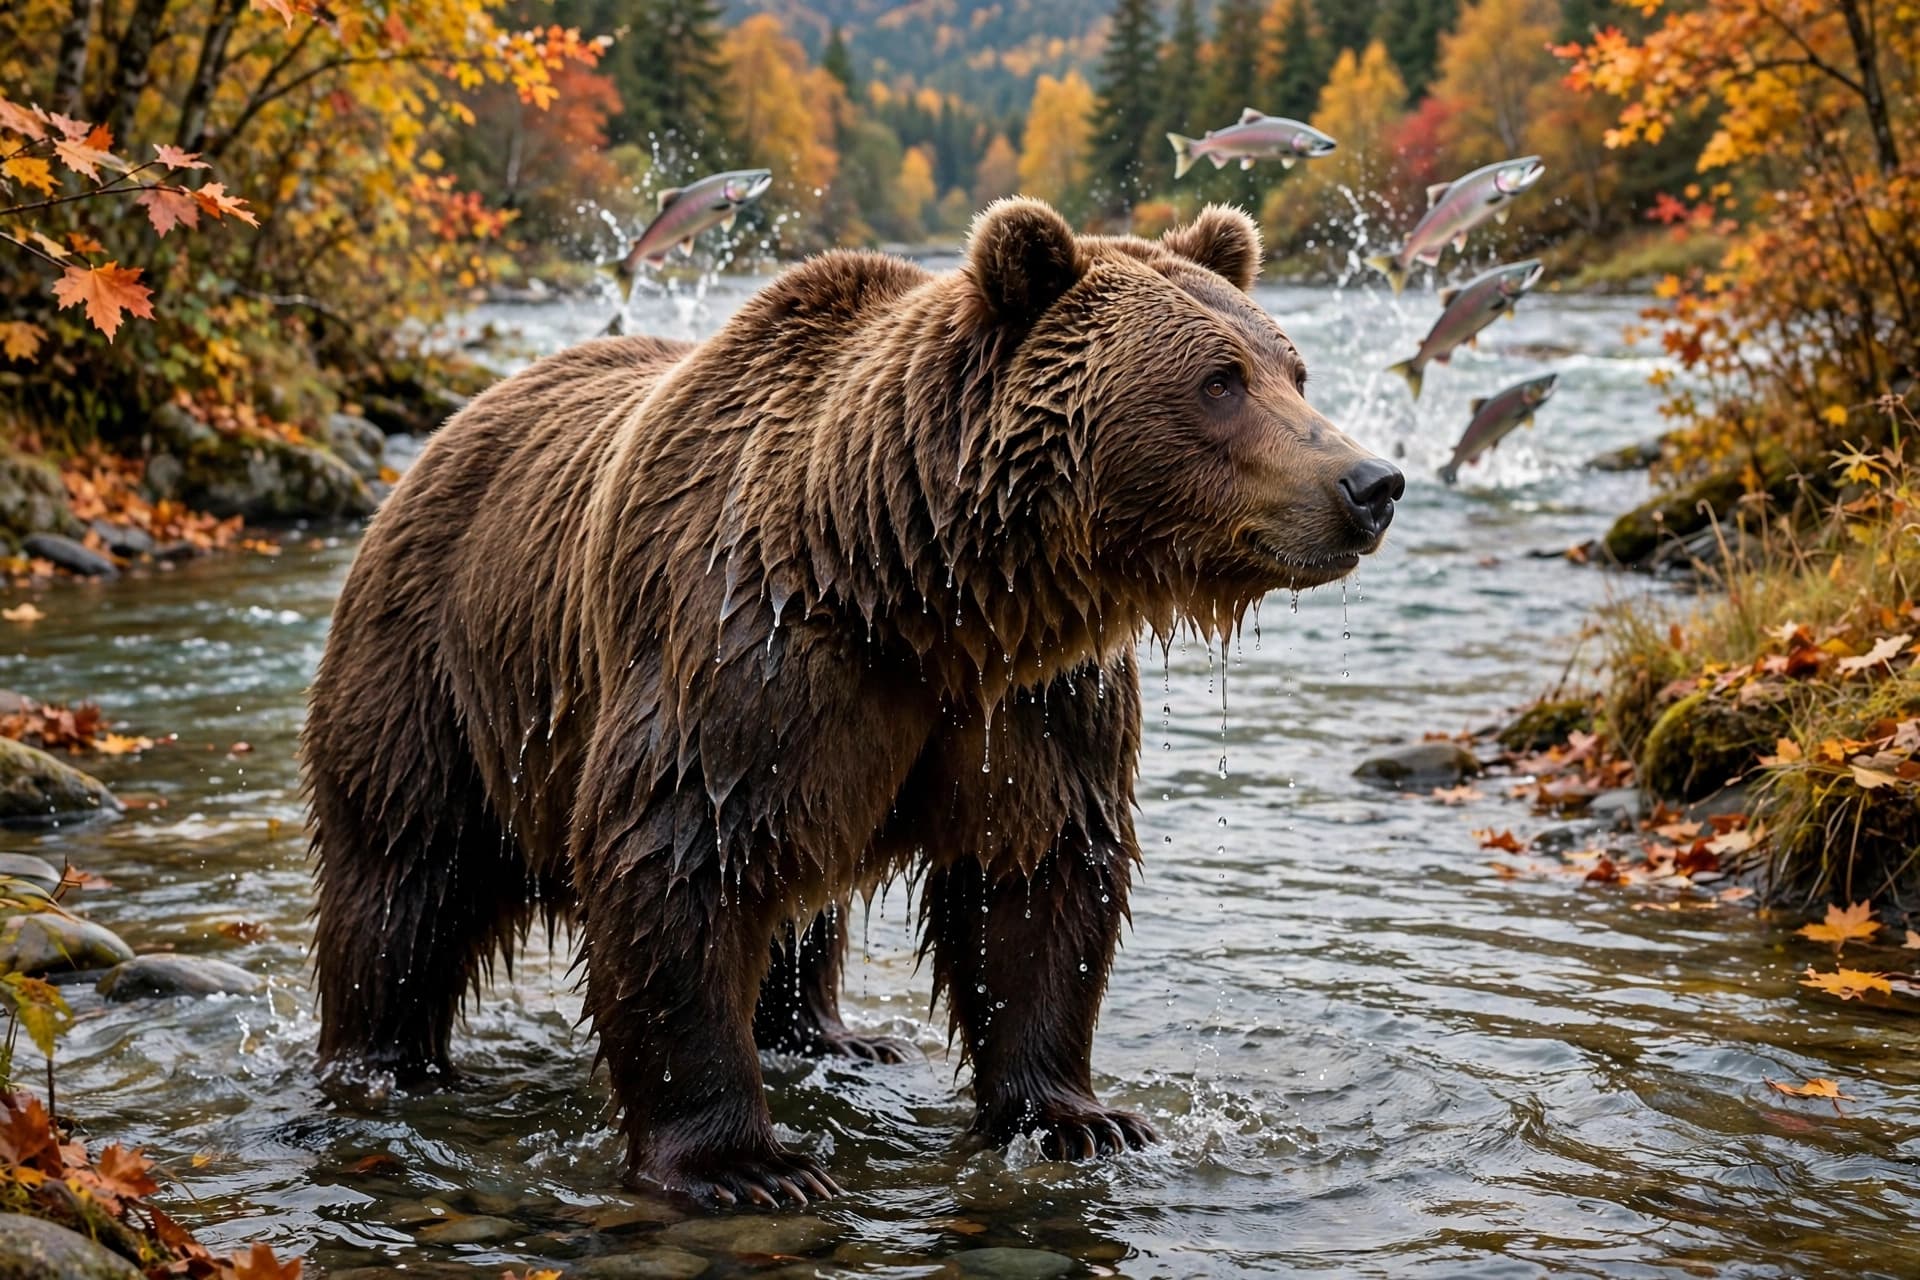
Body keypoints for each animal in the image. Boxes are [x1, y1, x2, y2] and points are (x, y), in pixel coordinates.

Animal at [303, 199, 1402, 1208]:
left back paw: (827, 1035)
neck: (916, 588)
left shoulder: (1032, 699)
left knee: (796, 898)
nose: (1372, 480)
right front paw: (746, 1165)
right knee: (402, 874)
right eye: (1219, 380)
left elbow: (1041, 874)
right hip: (436, 670)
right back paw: (383, 1064)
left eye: (1291, 369)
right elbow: (676, 857)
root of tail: (450, 430)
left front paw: (1076, 1116)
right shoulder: (747, 651)